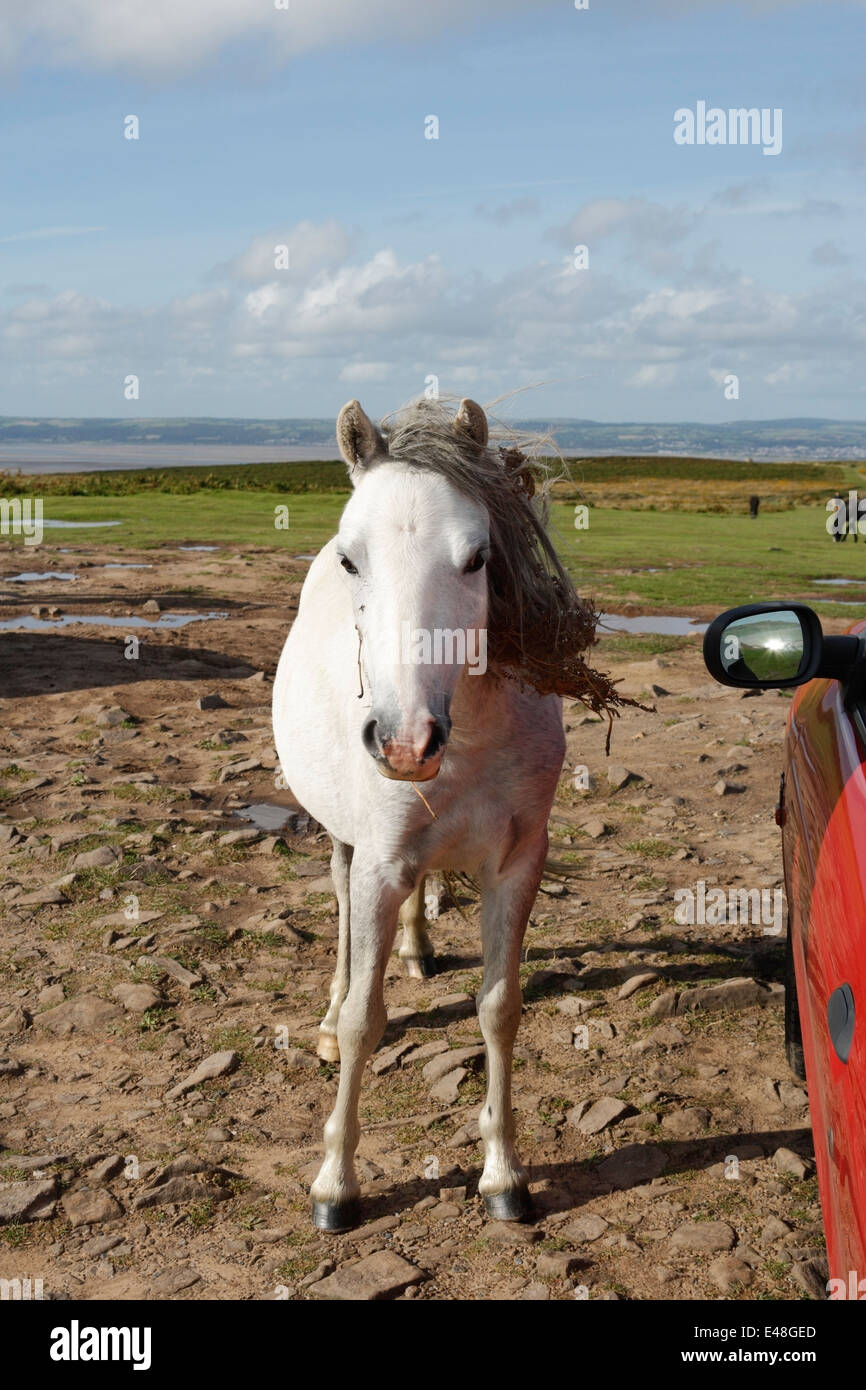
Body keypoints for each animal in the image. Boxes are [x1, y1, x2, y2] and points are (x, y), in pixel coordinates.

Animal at [273, 397, 614, 1234]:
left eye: (478, 557)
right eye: (350, 559)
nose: (404, 742)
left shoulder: (517, 865)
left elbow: (499, 1009)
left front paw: (504, 1175)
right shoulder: (379, 863)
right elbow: (365, 1021)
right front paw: (335, 1185)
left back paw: (418, 949)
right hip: (346, 843)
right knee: (341, 914)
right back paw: (326, 1018)